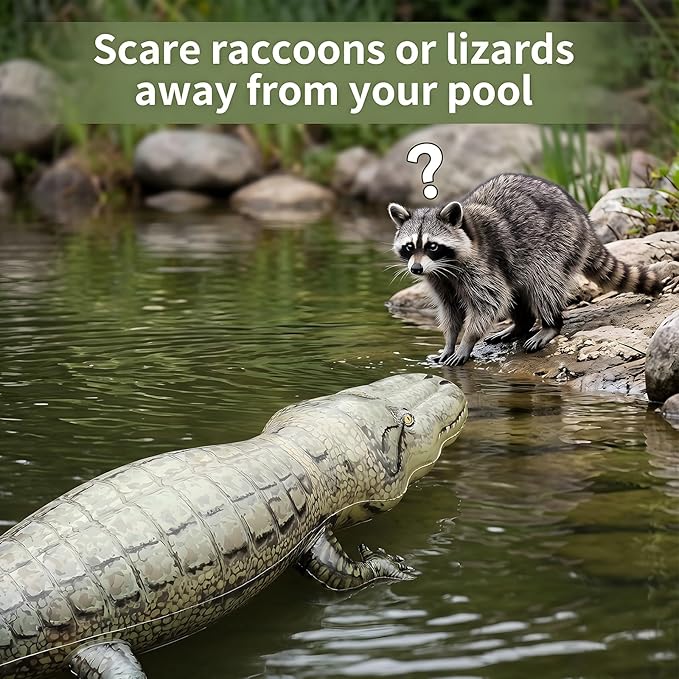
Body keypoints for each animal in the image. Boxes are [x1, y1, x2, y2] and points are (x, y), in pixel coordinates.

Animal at [389, 173, 663, 366]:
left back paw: (551, 324)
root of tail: (584, 220)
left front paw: (467, 340)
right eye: (410, 247)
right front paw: (449, 342)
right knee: (517, 290)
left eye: (433, 246)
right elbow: (450, 310)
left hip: (557, 243)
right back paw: (521, 324)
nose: (416, 269)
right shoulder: (438, 279)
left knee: (543, 283)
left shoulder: (482, 264)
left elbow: (489, 302)